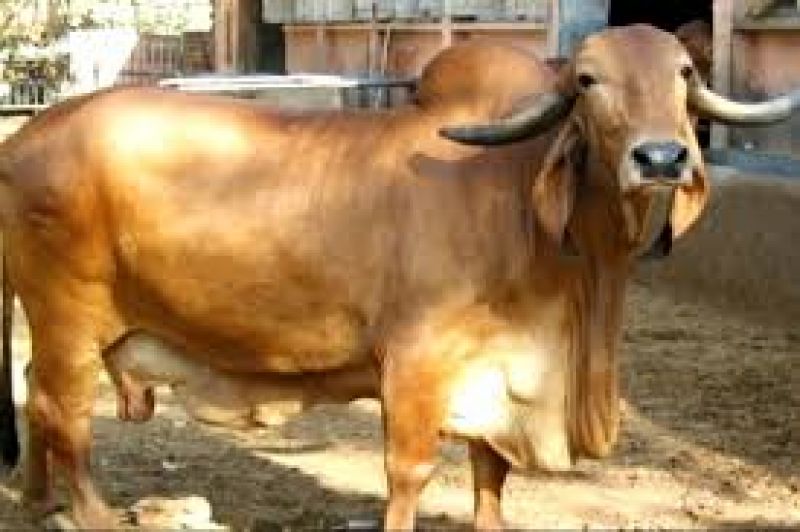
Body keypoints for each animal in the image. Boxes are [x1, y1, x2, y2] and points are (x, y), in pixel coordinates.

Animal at [0, 24, 798, 531]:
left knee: (34, 395)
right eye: (588, 80)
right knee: (61, 410)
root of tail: (25, 135)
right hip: (70, 318)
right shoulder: (416, 362)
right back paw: (93, 514)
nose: (661, 158)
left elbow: (490, 469)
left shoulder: (499, 370)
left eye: (684, 74)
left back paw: (37, 502)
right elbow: (410, 470)